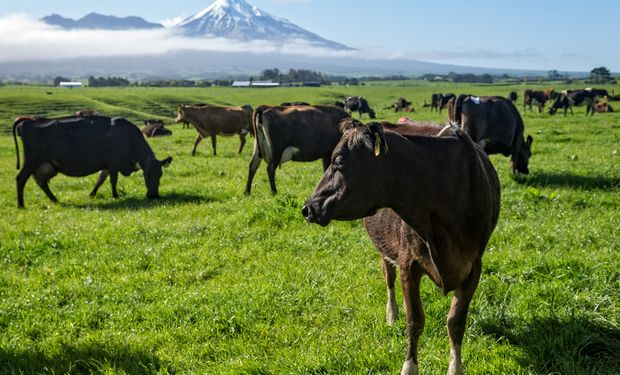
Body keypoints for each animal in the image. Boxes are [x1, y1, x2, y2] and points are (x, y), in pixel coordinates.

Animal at [12, 116, 172, 209]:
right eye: (147, 175)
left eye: (160, 174)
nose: (153, 196)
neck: (128, 137)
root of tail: (28, 122)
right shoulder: (114, 164)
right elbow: (113, 181)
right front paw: (115, 196)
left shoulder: (107, 165)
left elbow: (100, 179)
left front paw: (92, 194)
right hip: (31, 161)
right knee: (21, 179)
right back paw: (21, 204)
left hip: (46, 165)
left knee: (41, 182)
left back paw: (55, 200)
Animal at [302, 119, 502, 375]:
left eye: (338, 161)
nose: (308, 207)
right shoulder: (409, 263)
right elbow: (414, 320)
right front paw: (409, 367)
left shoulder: (474, 266)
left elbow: (455, 321)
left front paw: (455, 367)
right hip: (384, 249)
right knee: (389, 278)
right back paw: (392, 313)